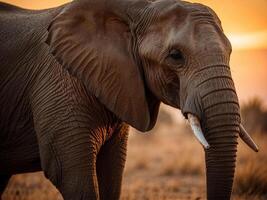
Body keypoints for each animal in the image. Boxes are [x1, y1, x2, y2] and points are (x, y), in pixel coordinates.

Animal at [0, 0, 260, 199]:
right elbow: (68, 171)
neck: (136, 9)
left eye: (230, 52)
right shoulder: (58, 83)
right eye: (175, 55)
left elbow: (113, 169)